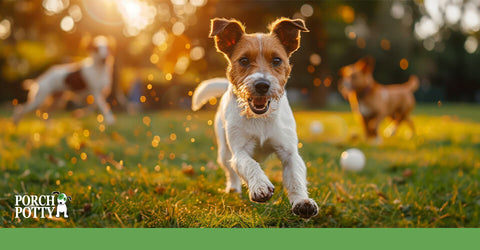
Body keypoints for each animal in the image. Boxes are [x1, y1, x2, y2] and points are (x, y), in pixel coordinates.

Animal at [191, 17, 318, 219]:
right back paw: (233, 189)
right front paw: (260, 185)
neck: (261, 118)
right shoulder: (239, 151)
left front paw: (302, 202)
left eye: (276, 60)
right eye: (243, 60)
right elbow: (248, 163)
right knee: (231, 171)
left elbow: (296, 178)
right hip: (224, 151)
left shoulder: (290, 152)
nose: (262, 85)